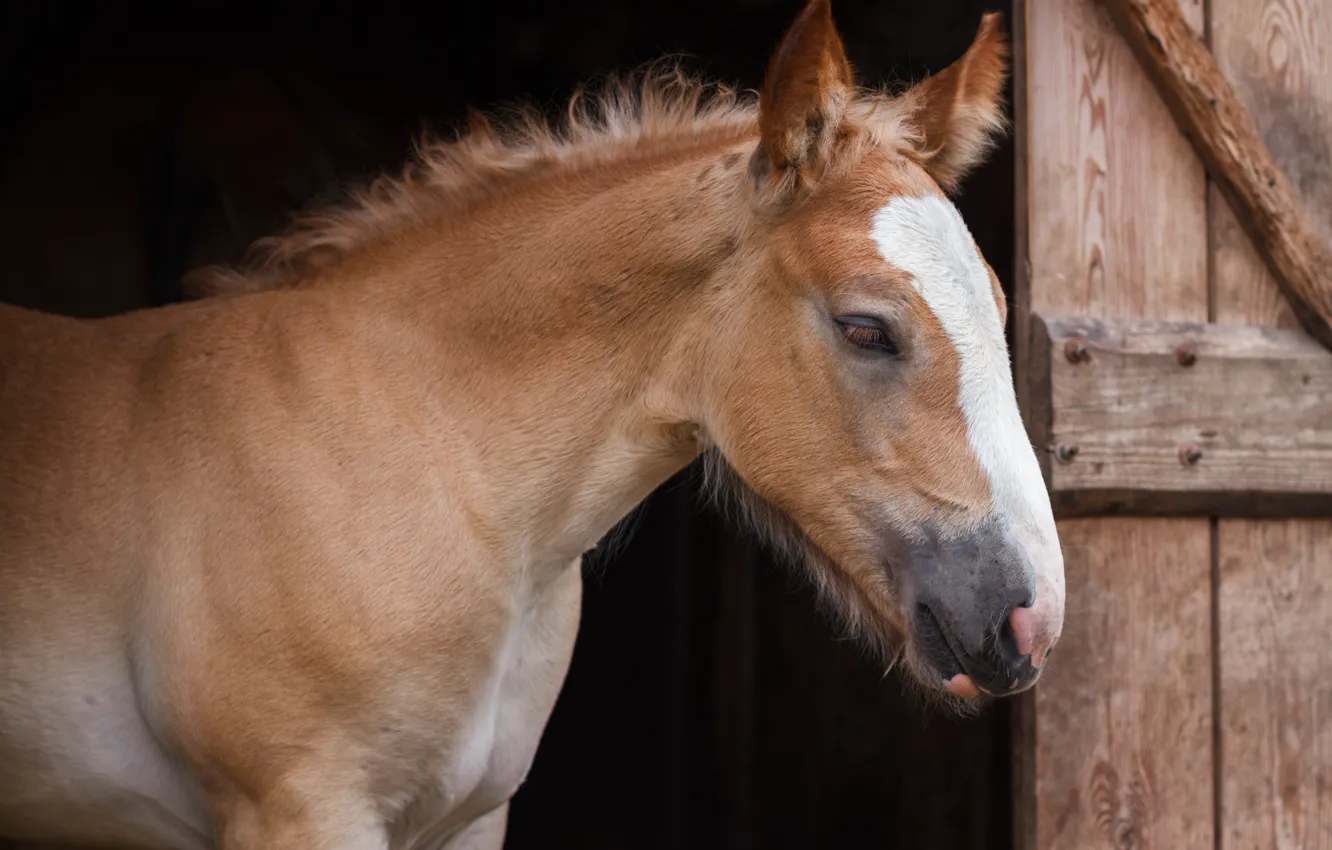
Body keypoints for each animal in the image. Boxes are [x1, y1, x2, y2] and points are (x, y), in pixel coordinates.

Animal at [0, 2, 1064, 847]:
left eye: (998, 305)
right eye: (866, 328)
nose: (1032, 616)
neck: (422, 459)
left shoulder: (471, 819)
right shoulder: (300, 807)